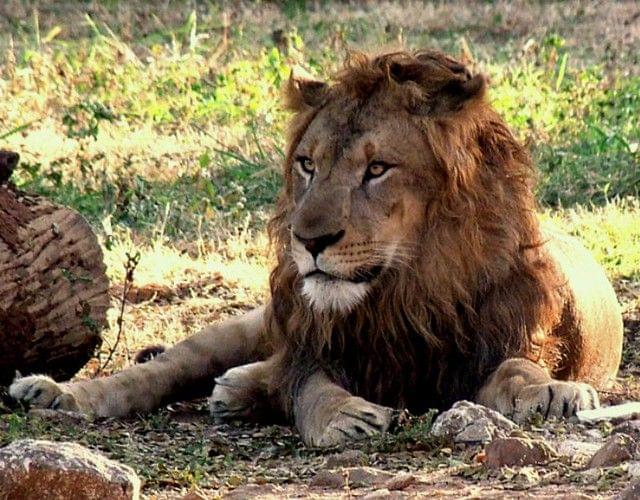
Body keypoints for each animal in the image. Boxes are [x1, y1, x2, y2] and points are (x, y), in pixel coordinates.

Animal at [7, 50, 624, 448]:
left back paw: (235, 391)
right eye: (308, 164)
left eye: (377, 169)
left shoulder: (498, 340)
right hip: (249, 325)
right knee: (168, 368)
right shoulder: (313, 342)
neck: (406, 289)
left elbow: (518, 370)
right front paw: (344, 418)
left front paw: (552, 393)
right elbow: (307, 387)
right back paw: (57, 394)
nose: (307, 241)